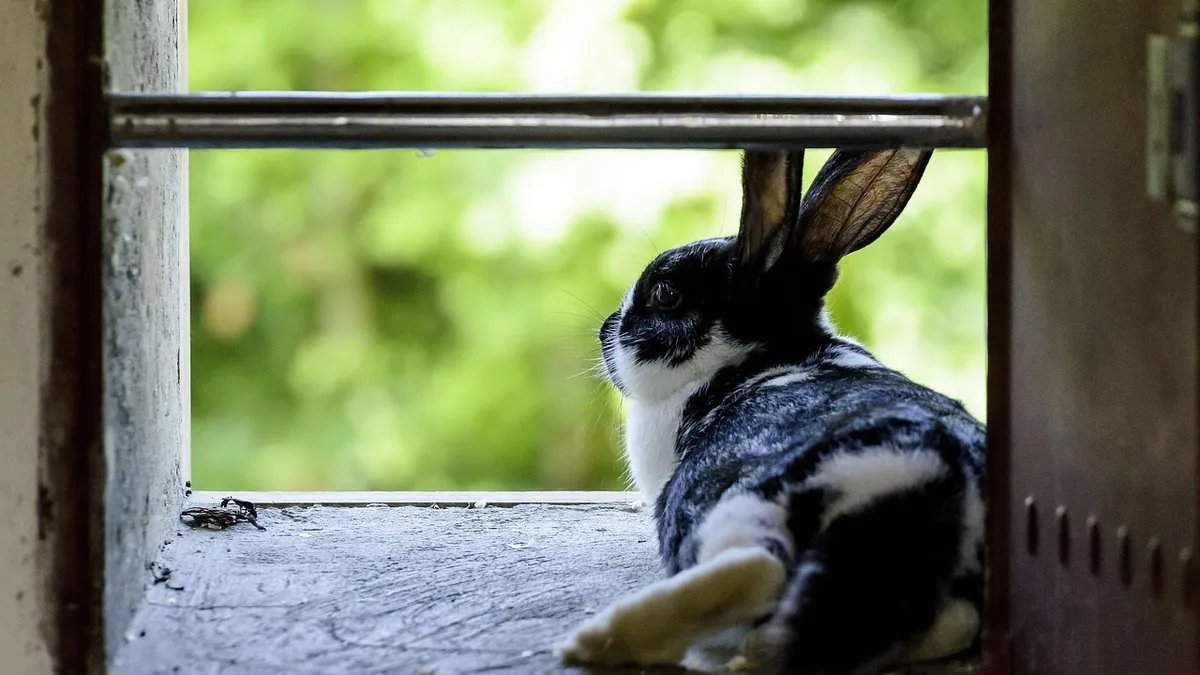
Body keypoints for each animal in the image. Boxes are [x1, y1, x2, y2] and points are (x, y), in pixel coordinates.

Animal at [555, 148, 986, 675]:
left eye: (666, 294)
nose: (605, 330)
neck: (760, 355)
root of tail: (938, 475)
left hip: (746, 503)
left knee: (758, 570)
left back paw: (598, 642)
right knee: (951, 624)